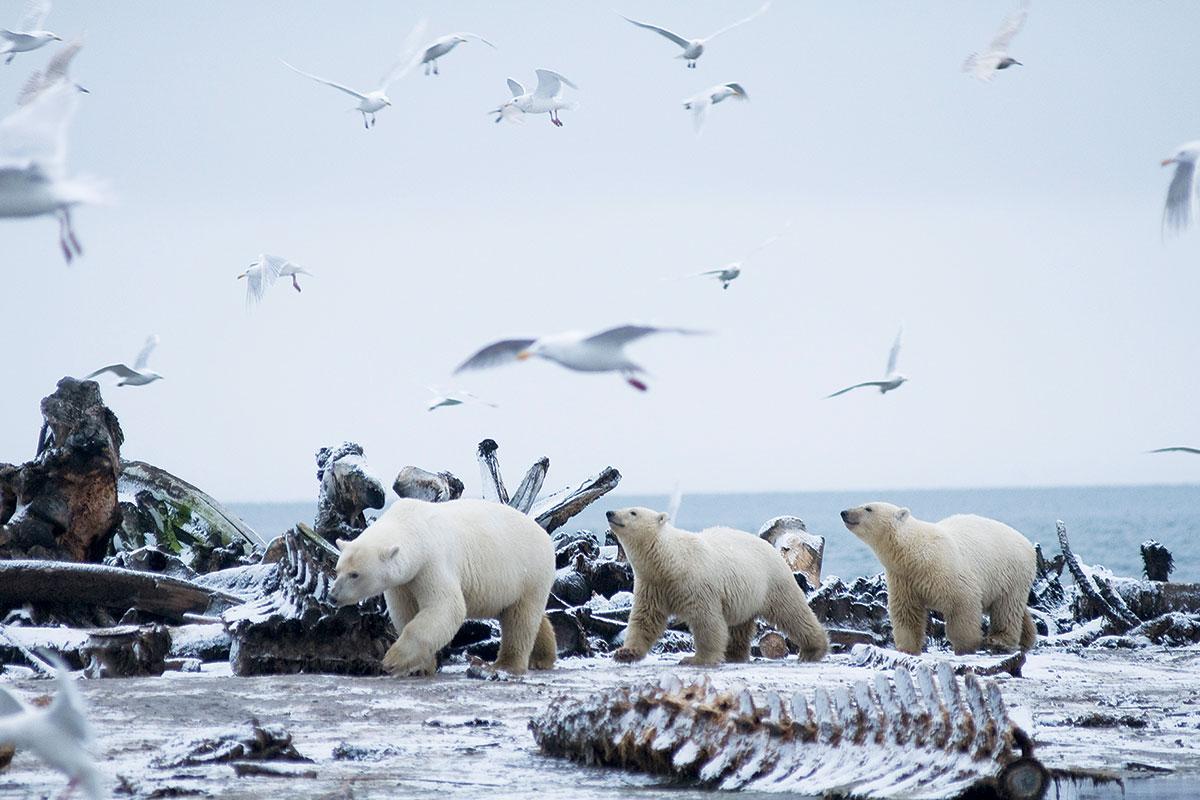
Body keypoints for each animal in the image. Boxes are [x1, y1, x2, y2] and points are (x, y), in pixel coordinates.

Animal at [326, 501, 554, 676]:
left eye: (355, 574)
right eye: (337, 570)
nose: (333, 596)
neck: (412, 525)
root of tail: (544, 534)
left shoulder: (432, 561)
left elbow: (446, 607)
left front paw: (393, 660)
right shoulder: (403, 582)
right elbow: (406, 613)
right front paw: (418, 668)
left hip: (529, 571)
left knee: (521, 619)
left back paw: (507, 664)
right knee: (522, 614)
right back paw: (542, 658)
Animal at [604, 510, 830, 666]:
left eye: (633, 512)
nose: (610, 512)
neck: (670, 561)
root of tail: (769, 545)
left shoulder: (695, 582)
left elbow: (706, 620)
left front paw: (696, 659)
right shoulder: (652, 584)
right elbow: (645, 619)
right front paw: (625, 653)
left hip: (772, 581)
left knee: (792, 613)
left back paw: (813, 650)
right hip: (745, 592)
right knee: (740, 626)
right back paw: (735, 655)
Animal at [840, 501, 1036, 657]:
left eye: (868, 508)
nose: (844, 512)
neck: (916, 554)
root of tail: (1028, 543)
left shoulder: (948, 571)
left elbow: (963, 605)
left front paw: (965, 646)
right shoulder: (904, 579)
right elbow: (906, 612)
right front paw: (907, 648)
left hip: (1011, 573)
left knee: (1007, 608)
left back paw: (999, 640)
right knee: (1013, 608)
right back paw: (1027, 638)